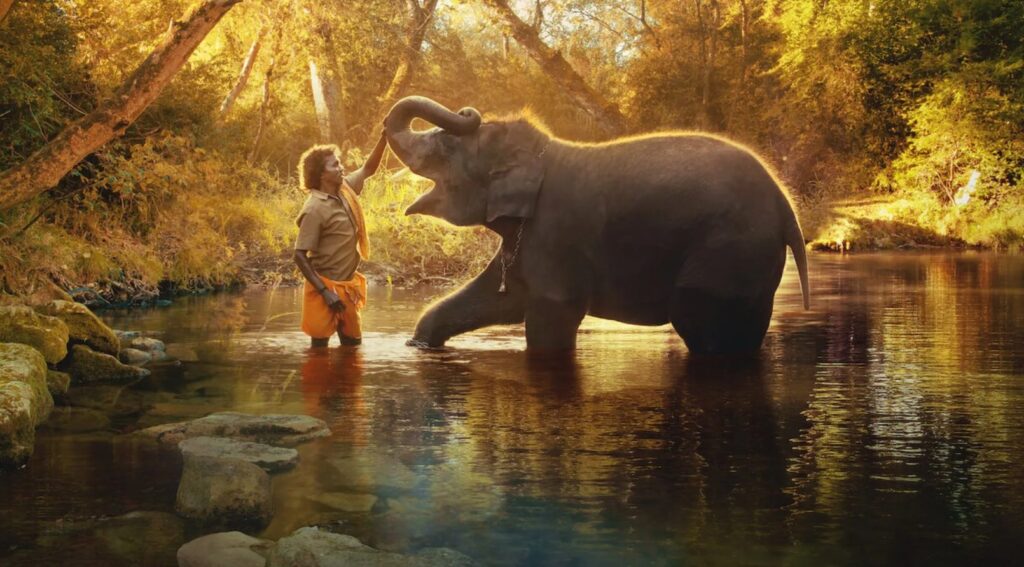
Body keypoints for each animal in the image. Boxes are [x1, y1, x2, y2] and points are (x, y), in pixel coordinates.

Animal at [382, 97, 806, 352]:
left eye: (446, 148)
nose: (469, 111)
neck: (542, 153)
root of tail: (786, 206)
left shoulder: (555, 232)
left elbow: (551, 315)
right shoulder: (529, 238)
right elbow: (498, 298)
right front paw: (420, 345)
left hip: (729, 249)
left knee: (699, 320)